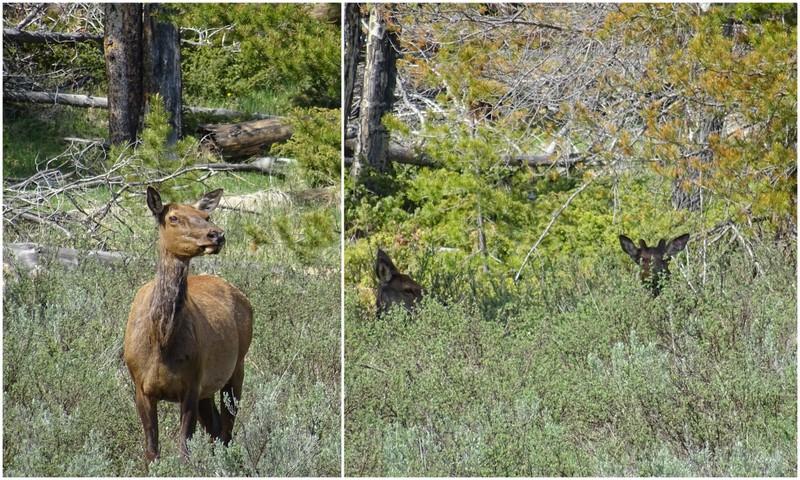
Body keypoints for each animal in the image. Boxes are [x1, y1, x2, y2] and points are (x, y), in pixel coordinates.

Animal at [124, 186, 253, 464]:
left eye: (205, 215)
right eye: (173, 217)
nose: (217, 234)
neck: (162, 342)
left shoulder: (192, 385)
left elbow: (184, 449)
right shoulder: (141, 387)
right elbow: (151, 451)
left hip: (236, 368)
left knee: (226, 430)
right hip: (210, 389)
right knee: (215, 427)